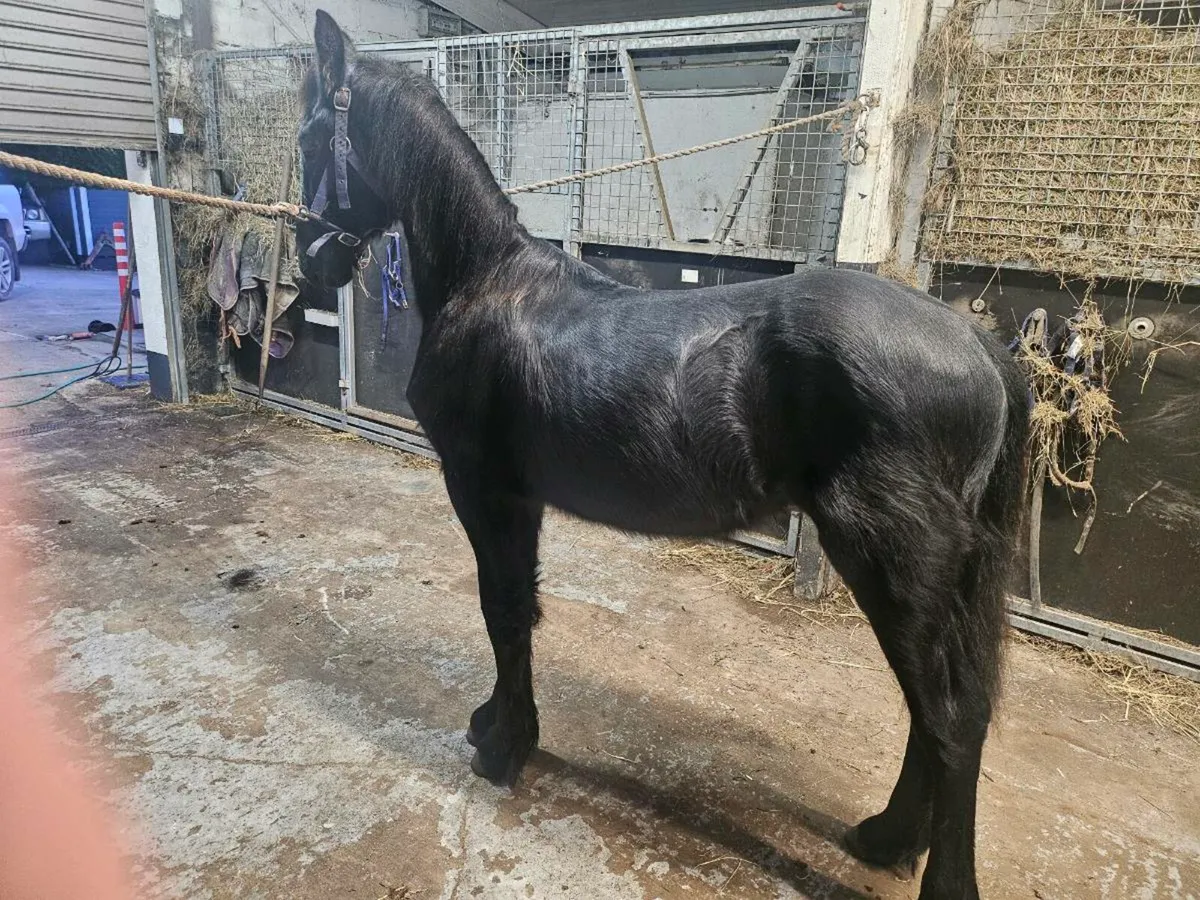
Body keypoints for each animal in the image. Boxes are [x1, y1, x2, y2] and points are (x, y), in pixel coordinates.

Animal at [293, 12, 1029, 899]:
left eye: (309, 137)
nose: (309, 263)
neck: (488, 283)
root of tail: (977, 346)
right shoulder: (521, 500)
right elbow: (520, 611)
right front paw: (497, 724)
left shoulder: (483, 488)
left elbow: (501, 611)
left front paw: (503, 748)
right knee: (939, 712)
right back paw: (885, 838)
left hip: (893, 560)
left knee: (950, 718)